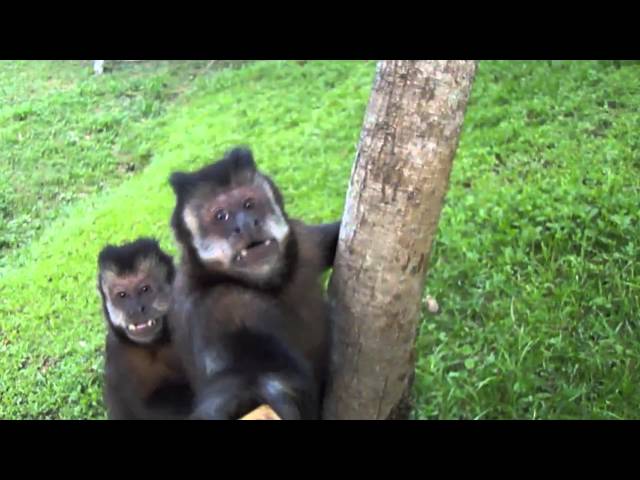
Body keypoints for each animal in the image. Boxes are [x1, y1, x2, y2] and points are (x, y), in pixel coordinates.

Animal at [168, 147, 340, 420]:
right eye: (221, 216)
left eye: (248, 204)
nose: (246, 224)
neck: (264, 283)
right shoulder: (218, 306)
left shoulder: (304, 241)